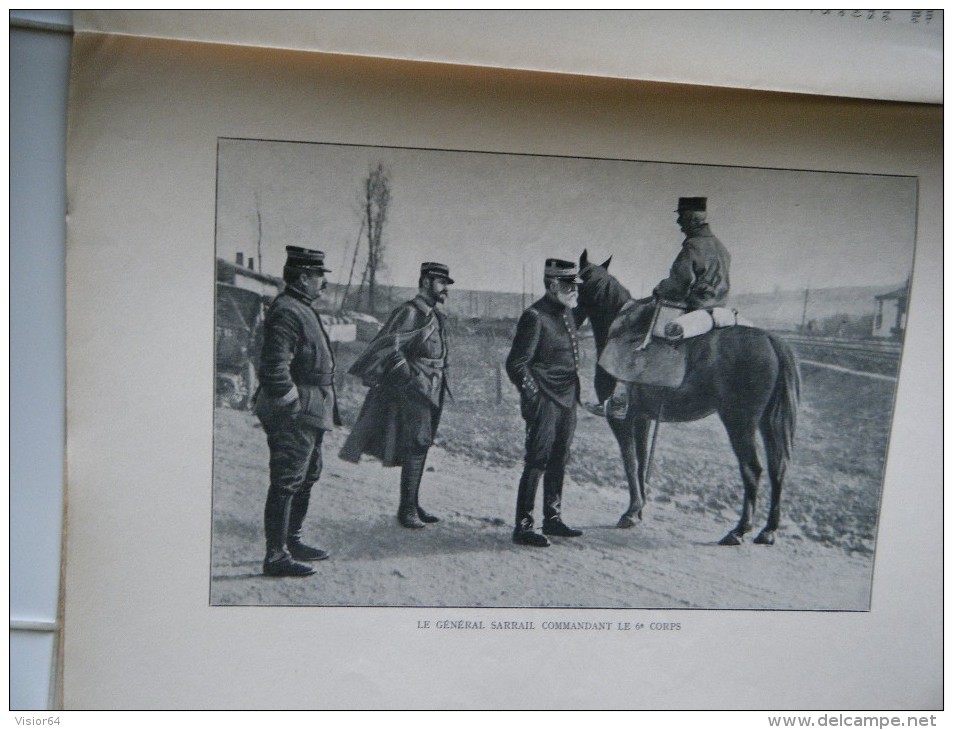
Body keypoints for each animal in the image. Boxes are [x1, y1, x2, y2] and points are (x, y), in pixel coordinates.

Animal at [576, 247, 800, 544]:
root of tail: (770, 340)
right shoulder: (643, 418)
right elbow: (641, 461)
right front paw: (640, 510)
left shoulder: (622, 419)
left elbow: (630, 461)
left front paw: (631, 512)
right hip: (766, 423)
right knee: (778, 468)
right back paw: (768, 531)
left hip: (739, 422)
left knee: (753, 469)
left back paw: (739, 530)